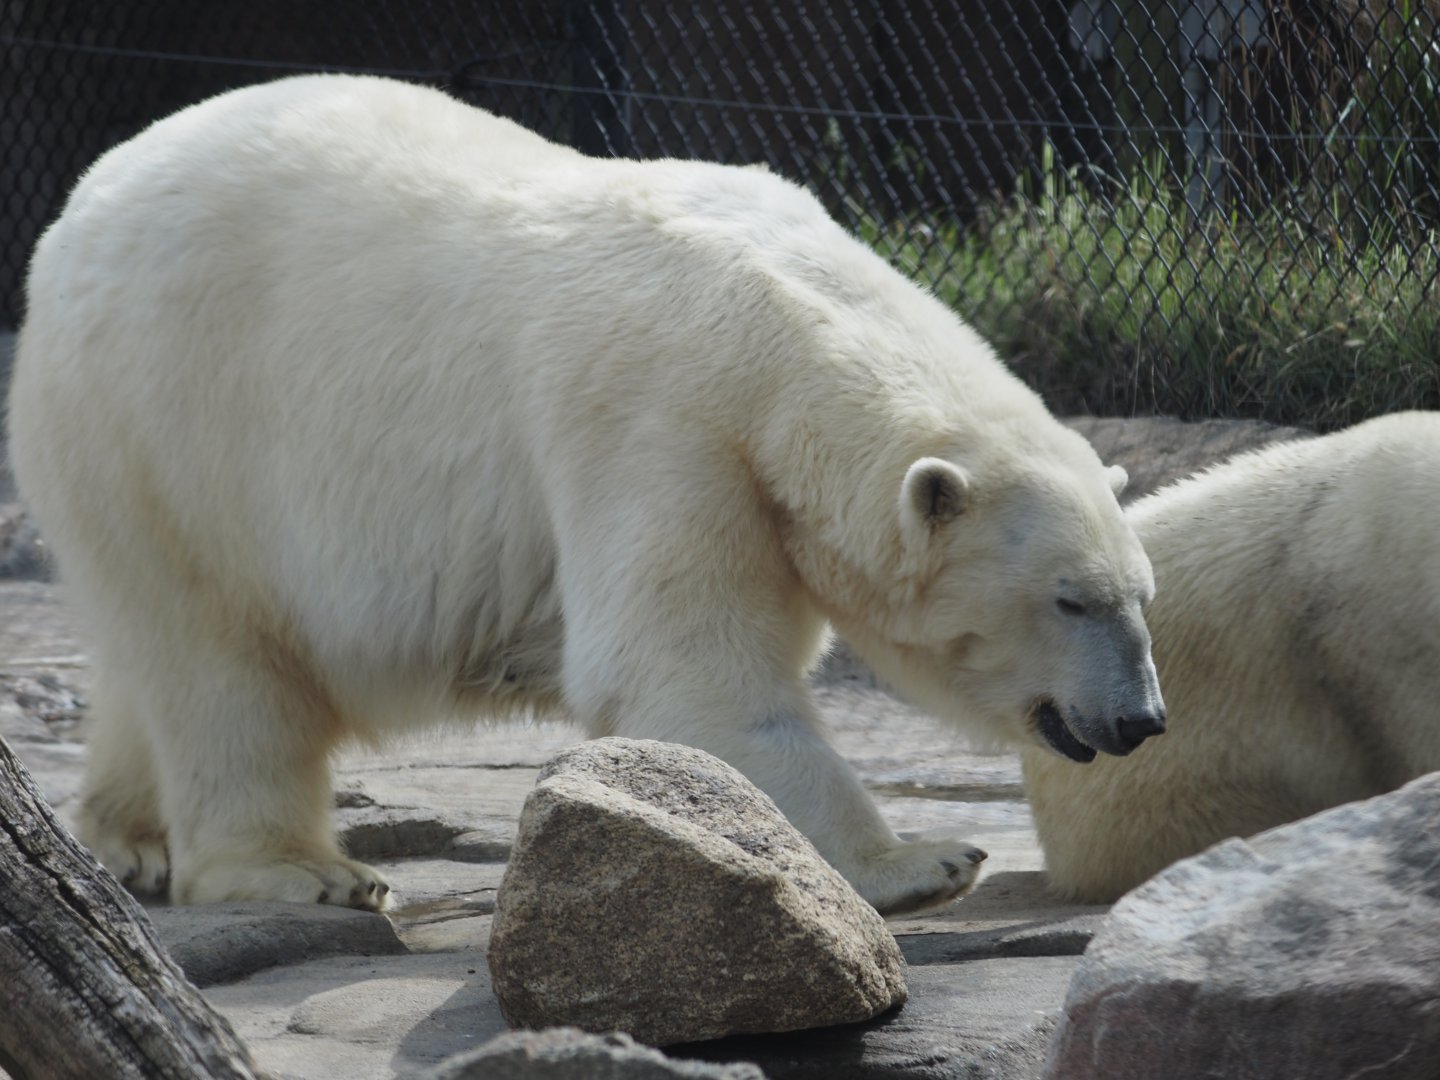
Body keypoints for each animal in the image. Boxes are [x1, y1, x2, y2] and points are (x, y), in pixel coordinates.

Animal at [9, 74, 1164, 916]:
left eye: (1140, 592)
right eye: (1070, 599)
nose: (1142, 718)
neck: (780, 317)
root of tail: (77, 209)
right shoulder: (659, 418)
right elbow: (685, 667)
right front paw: (925, 860)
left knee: (153, 653)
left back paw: (131, 838)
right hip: (169, 425)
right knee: (222, 664)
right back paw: (303, 872)